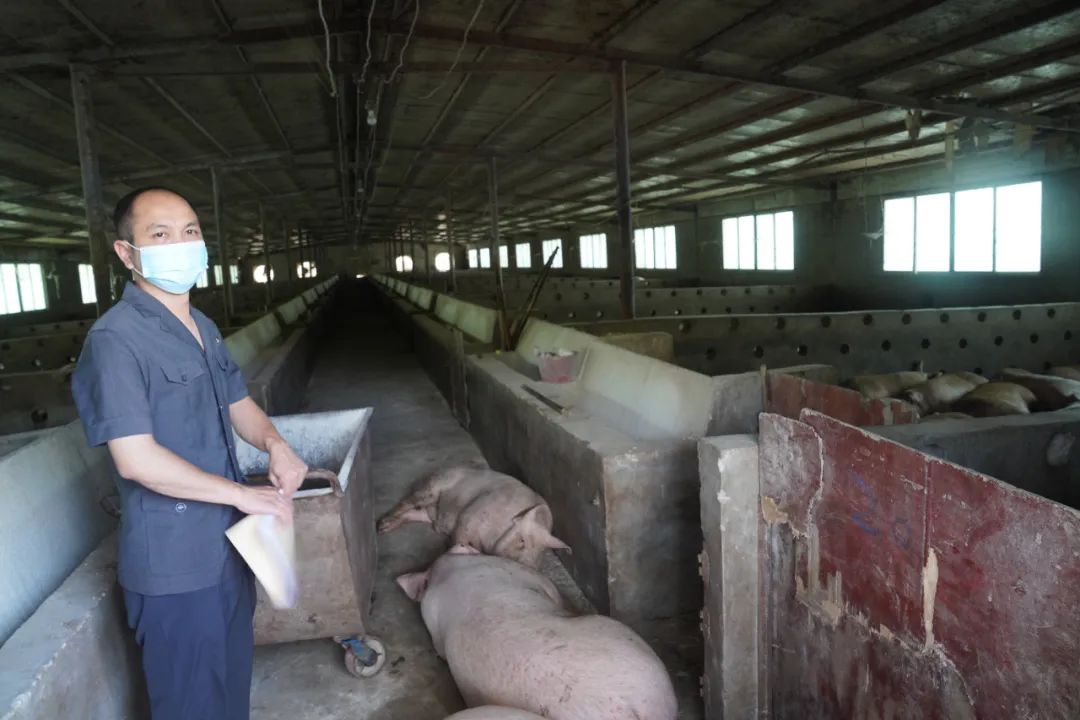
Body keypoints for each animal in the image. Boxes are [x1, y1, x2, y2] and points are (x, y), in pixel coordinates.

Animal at [375, 464, 570, 569]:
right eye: (522, 541)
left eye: (543, 550)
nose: (530, 566)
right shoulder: (470, 516)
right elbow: (459, 539)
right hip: (431, 488)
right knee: (407, 502)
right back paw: (380, 527)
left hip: (428, 510)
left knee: (415, 512)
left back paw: (385, 528)